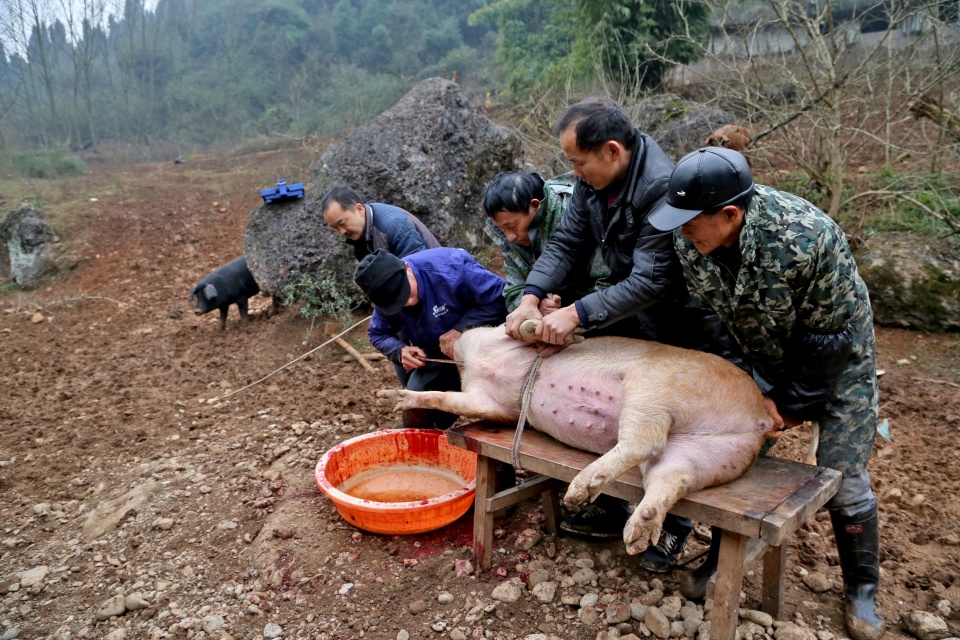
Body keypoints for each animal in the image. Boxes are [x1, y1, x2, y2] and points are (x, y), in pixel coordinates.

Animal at [392, 324, 780, 556]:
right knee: (672, 475)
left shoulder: (505, 338)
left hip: (654, 385)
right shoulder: (490, 404)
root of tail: (758, 416)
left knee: (645, 441)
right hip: (710, 452)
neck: (471, 363)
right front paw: (396, 399)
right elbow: (448, 399)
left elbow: (523, 329)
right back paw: (636, 537)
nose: (442, 336)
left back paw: (579, 494)